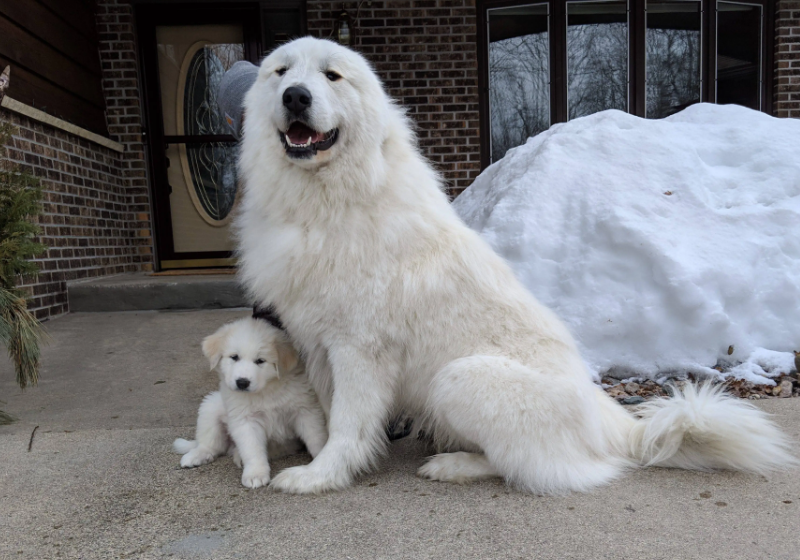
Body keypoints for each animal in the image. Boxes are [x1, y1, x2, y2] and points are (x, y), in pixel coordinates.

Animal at [173, 318, 326, 488]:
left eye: (260, 361)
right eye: (234, 357)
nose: (242, 382)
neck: (266, 390)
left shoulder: (305, 410)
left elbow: (315, 437)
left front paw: (322, 461)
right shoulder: (245, 420)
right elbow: (252, 449)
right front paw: (255, 474)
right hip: (210, 407)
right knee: (210, 445)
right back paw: (195, 456)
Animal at [233, 37, 792, 494]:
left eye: (331, 76)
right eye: (281, 72)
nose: (296, 97)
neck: (328, 199)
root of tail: (611, 423)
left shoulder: (359, 348)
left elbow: (348, 425)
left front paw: (320, 475)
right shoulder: (319, 344)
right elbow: (330, 417)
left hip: (458, 377)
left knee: (535, 466)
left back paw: (454, 465)